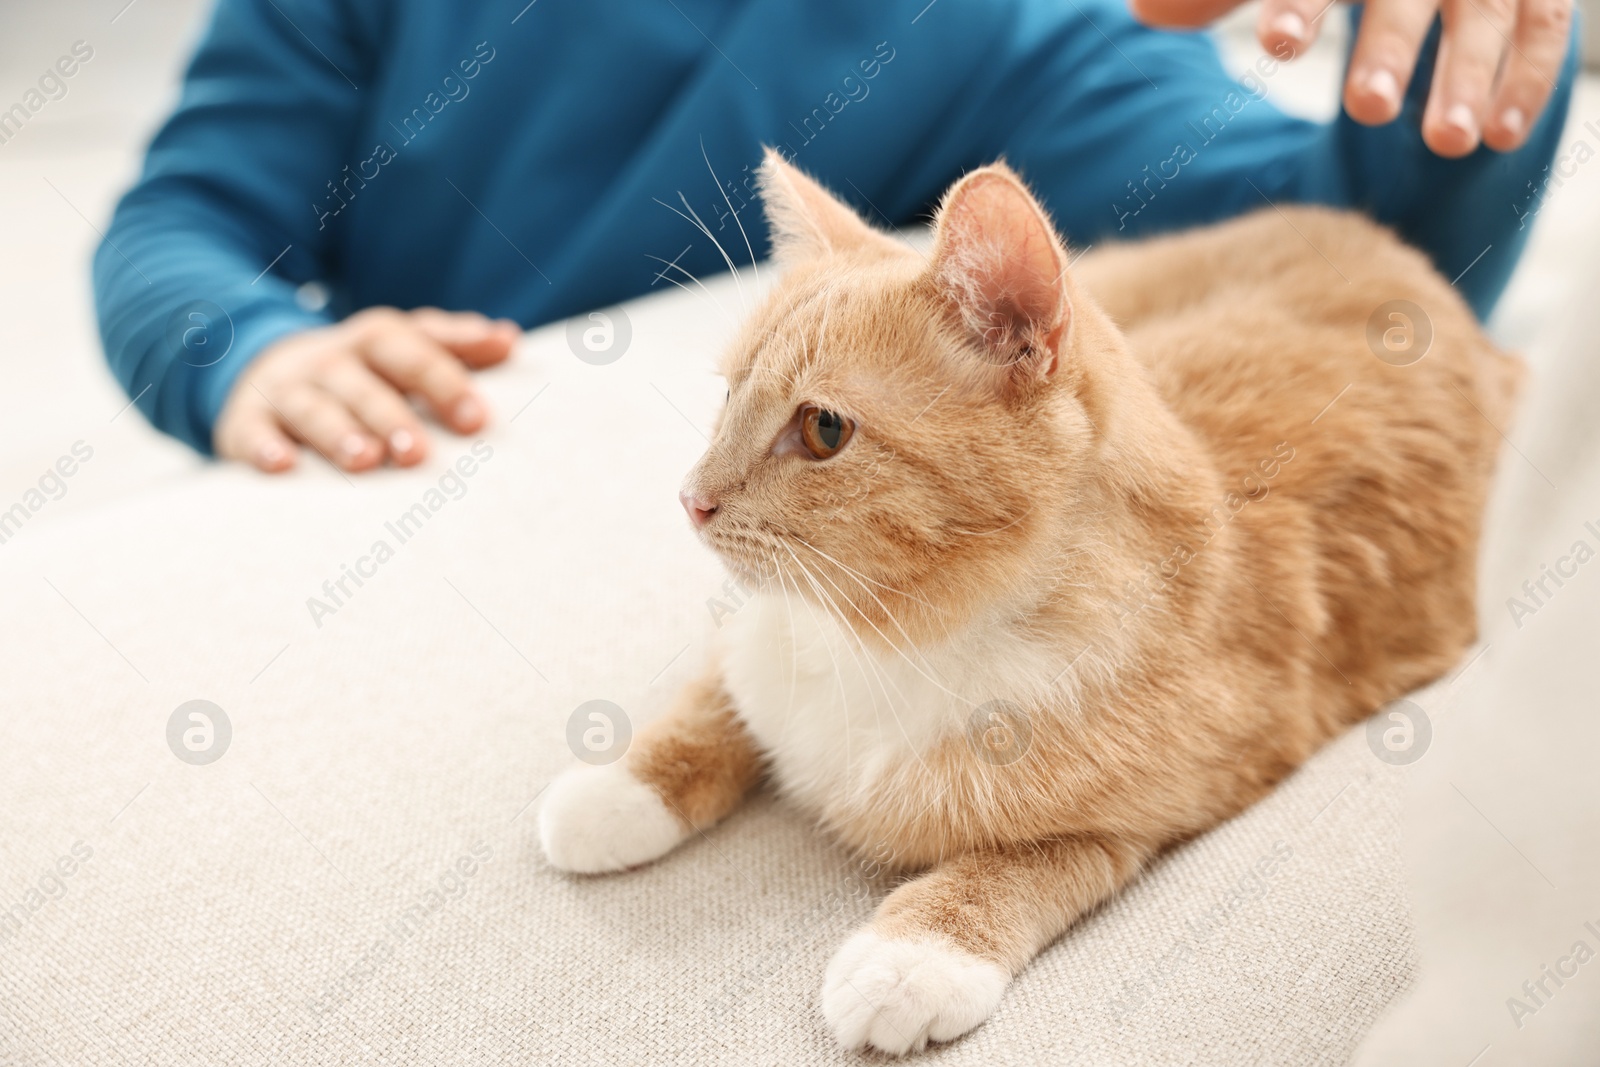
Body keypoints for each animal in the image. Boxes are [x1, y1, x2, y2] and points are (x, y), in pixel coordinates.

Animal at [534, 147, 1510, 1049]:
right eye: (731, 393)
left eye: (823, 429)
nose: (690, 498)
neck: (885, 639)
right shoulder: (752, 642)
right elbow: (714, 705)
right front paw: (620, 789)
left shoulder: (1161, 800)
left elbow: (1022, 863)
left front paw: (915, 955)